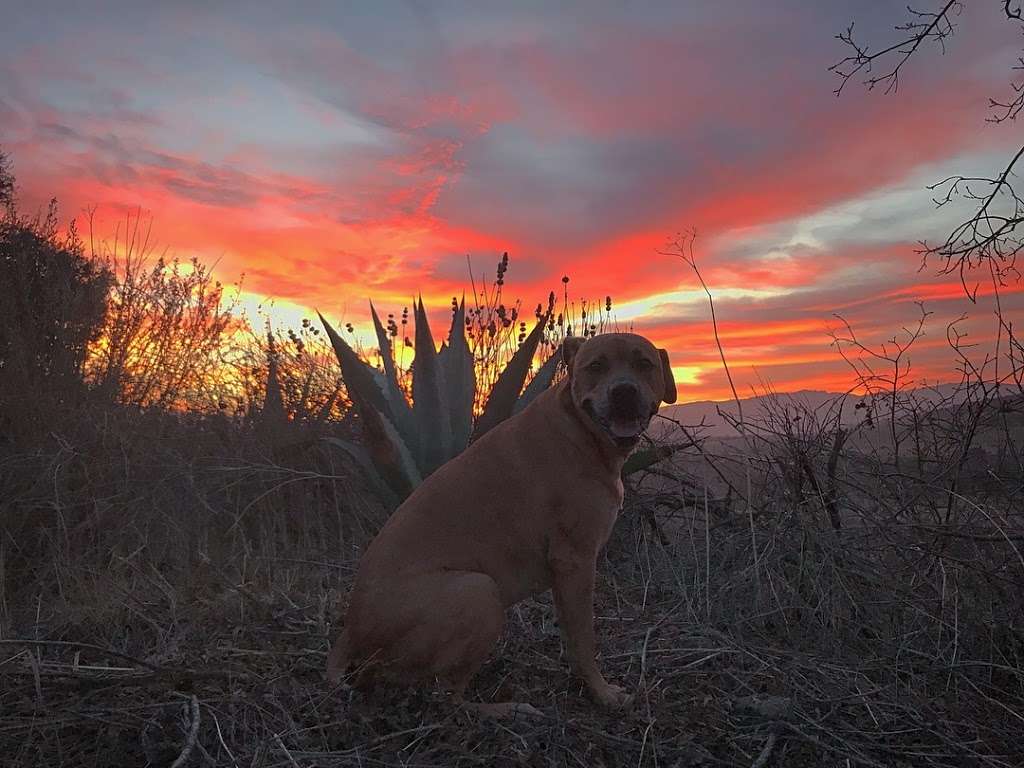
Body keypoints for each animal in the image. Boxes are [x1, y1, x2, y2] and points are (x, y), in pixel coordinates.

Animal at [327, 333, 675, 720]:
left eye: (644, 363)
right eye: (596, 366)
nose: (623, 391)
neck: (580, 431)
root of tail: (352, 627)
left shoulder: (564, 574)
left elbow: (572, 637)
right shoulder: (576, 561)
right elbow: (585, 641)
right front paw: (602, 693)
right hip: (479, 592)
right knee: (440, 695)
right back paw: (507, 709)